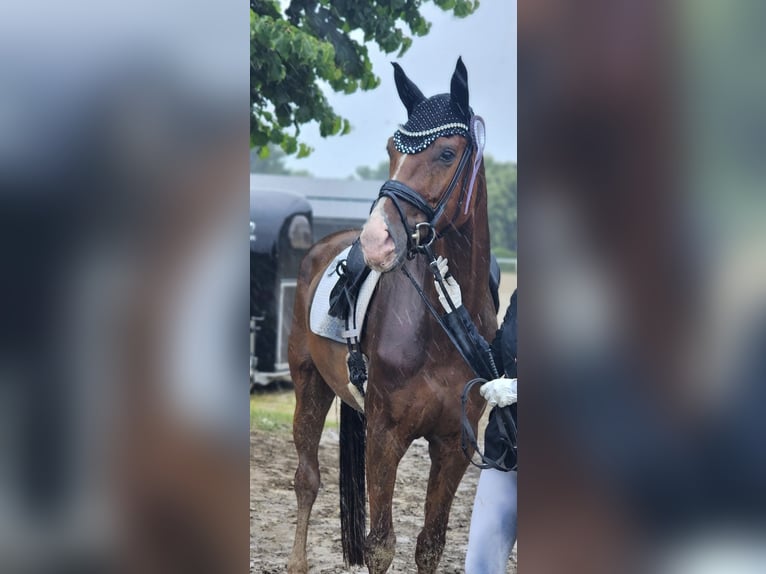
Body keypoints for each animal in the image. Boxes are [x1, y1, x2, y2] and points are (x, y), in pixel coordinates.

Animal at [286, 57, 497, 574]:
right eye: (390, 149)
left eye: (447, 153)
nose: (376, 242)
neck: (441, 326)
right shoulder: (385, 437)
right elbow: (381, 545)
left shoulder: (454, 446)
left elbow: (430, 544)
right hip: (309, 382)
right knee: (307, 479)